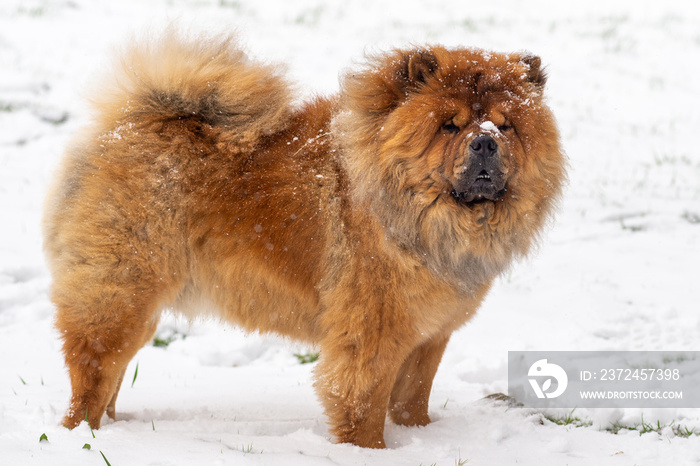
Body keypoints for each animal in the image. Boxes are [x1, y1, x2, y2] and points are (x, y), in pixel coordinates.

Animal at [43, 30, 568, 448]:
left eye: (506, 124)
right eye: (449, 125)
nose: (485, 141)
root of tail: (123, 129)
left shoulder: (430, 334)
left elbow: (413, 398)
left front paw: (418, 437)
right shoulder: (372, 333)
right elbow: (364, 404)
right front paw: (371, 452)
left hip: (139, 307)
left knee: (110, 380)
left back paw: (116, 431)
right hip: (120, 298)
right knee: (92, 376)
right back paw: (84, 436)